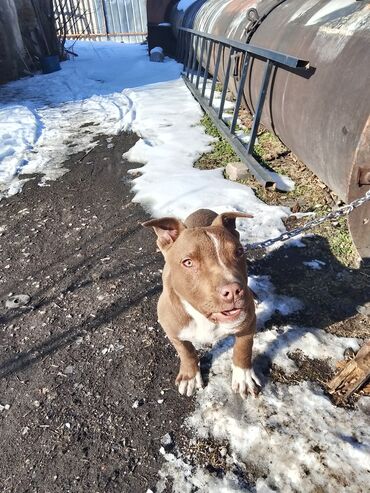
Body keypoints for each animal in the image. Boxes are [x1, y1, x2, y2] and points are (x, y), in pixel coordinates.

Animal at [142, 207, 260, 396]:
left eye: (239, 252)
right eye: (188, 262)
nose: (233, 291)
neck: (204, 318)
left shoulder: (248, 323)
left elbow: (243, 348)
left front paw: (243, 377)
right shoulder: (173, 331)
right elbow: (186, 351)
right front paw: (190, 376)